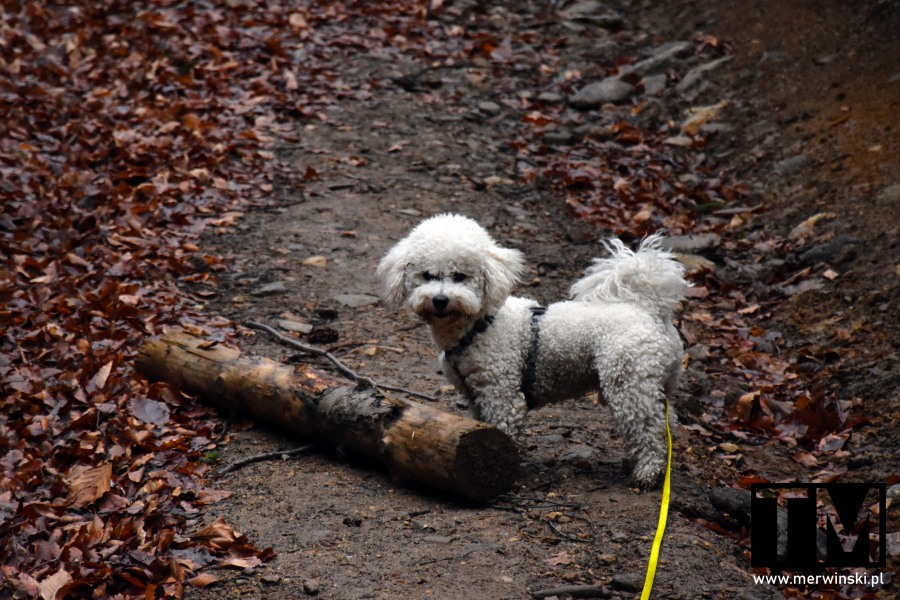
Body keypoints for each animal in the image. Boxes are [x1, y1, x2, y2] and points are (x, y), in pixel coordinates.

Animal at [376, 213, 684, 486]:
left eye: (460, 276)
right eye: (427, 275)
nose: (440, 300)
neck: (479, 325)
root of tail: (648, 309)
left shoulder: (502, 394)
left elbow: (503, 432)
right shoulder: (478, 395)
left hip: (629, 382)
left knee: (650, 430)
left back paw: (647, 472)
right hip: (647, 382)